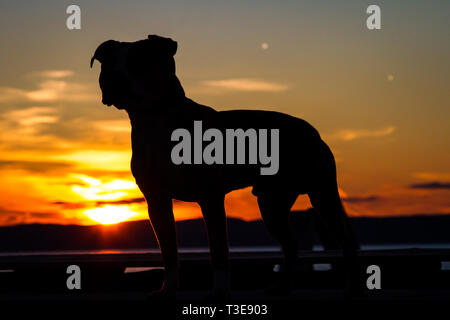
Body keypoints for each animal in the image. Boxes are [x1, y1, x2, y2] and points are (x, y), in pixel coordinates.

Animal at [89, 35, 360, 298]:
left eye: (139, 61)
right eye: (107, 64)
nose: (113, 76)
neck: (155, 120)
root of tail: (312, 130)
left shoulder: (210, 199)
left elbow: (218, 250)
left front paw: (219, 292)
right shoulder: (157, 202)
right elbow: (169, 251)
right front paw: (168, 290)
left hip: (321, 194)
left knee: (346, 241)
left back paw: (351, 289)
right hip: (272, 202)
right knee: (290, 245)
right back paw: (281, 288)